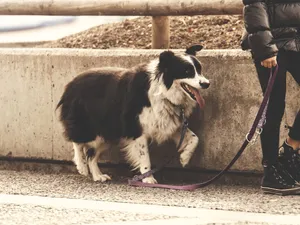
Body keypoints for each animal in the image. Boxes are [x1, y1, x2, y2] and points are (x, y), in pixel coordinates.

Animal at [57, 44, 210, 184]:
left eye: (199, 69)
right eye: (187, 71)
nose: (207, 83)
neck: (163, 92)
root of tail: (70, 85)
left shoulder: (169, 123)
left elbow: (195, 138)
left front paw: (184, 158)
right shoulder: (137, 128)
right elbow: (145, 156)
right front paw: (148, 179)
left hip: (108, 132)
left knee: (91, 155)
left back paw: (98, 176)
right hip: (89, 125)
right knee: (77, 141)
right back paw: (81, 166)